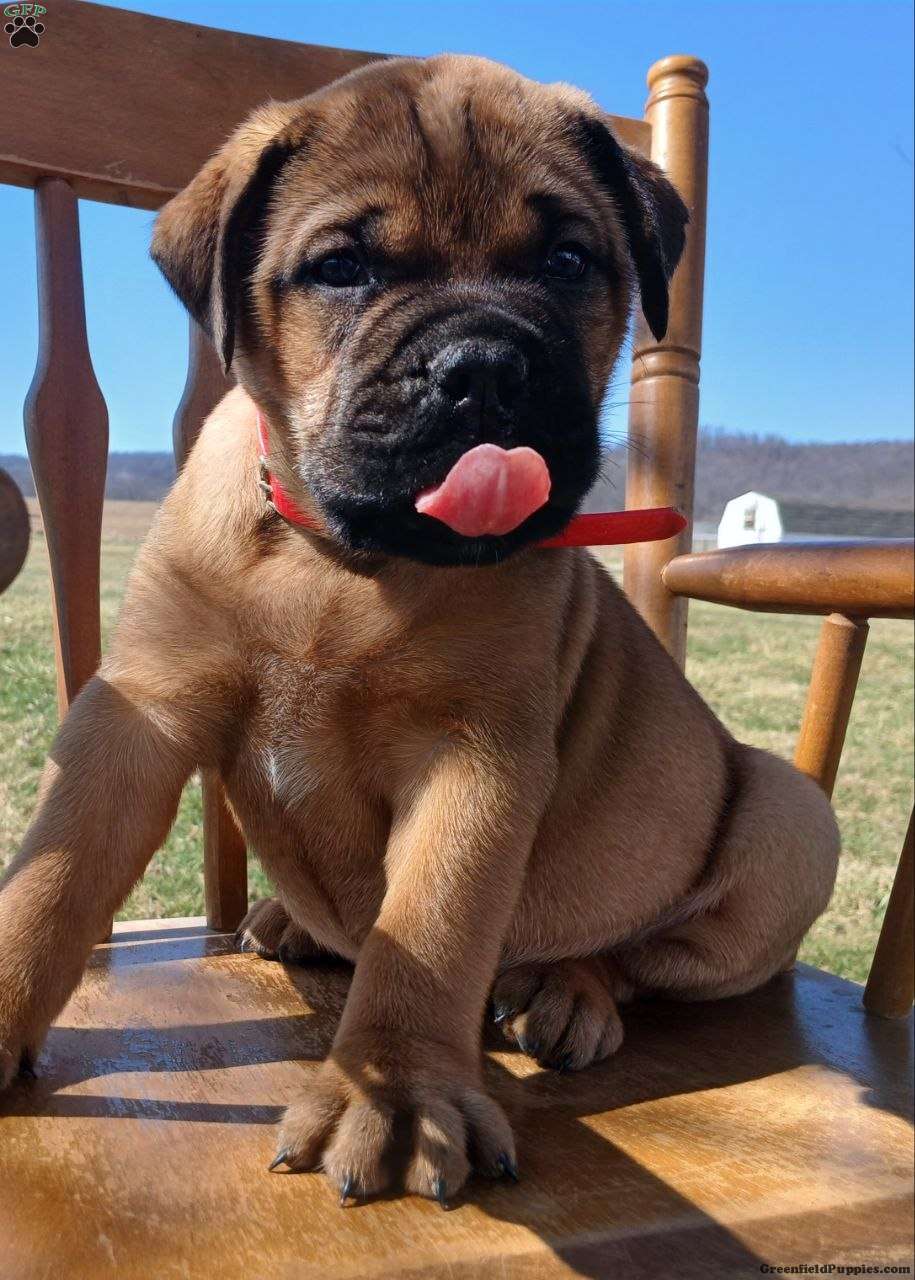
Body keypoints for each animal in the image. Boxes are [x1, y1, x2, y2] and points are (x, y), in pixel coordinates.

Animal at [0, 54, 839, 1204]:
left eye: (569, 259)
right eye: (341, 268)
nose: (483, 365)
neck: (338, 564)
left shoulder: (474, 754)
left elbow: (429, 926)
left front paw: (393, 1094)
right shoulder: (137, 715)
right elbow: (51, 880)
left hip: (791, 817)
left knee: (638, 953)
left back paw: (567, 991)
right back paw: (291, 921)